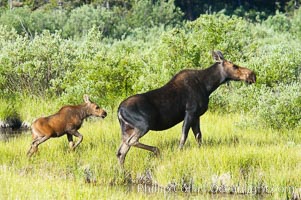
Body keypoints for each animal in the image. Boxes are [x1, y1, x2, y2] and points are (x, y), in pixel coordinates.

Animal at [117, 51, 255, 166]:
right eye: (234, 66)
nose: (252, 75)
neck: (208, 86)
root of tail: (119, 111)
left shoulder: (197, 115)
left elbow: (199, 136)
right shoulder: (190, 112)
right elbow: (184, 136)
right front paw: (178, 153)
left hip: (128, 129)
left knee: (120, 152)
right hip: (143, 125)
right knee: (129, 142)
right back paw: (156, 150)